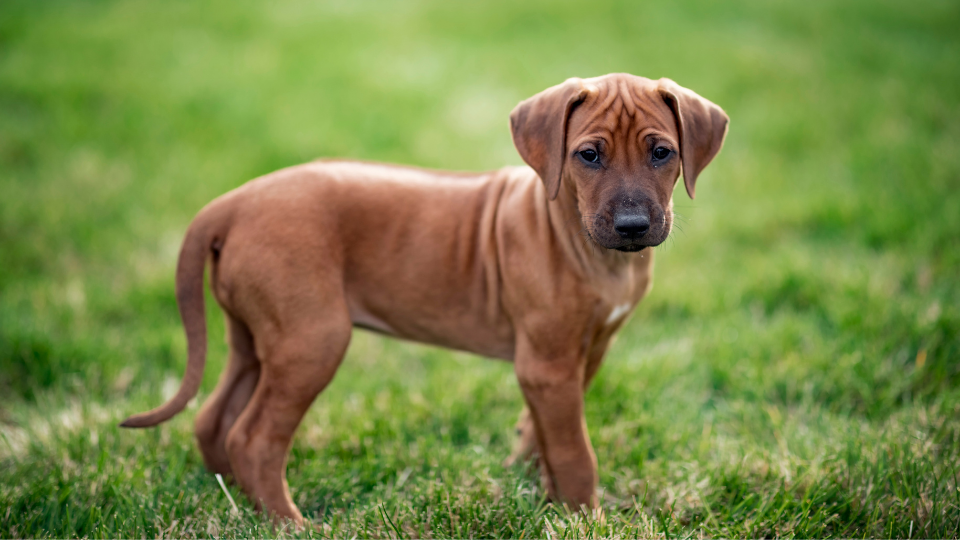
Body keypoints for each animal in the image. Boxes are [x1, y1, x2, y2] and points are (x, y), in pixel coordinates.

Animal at [124, 74, 732, 524]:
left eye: (662, 153)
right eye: (588, 155)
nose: (632, 226)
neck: (586, 245)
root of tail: (231, 202)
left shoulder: (583, 355)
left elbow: (543, 433)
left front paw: (540, 491)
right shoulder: (548, 363)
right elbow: (576, 452)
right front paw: (586, 517)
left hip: (253, 335)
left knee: (213, 419)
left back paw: (230, 500)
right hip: (311, 340)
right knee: (252, 437)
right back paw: (287, 522)